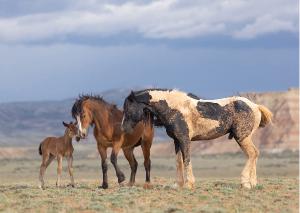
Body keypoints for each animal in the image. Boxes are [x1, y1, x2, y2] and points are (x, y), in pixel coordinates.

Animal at [120, 89, 274, 189]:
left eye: (128, 108)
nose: (123, 128)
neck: (174, 108)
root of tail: (255, 106)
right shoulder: (177, 141)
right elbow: (179, 162)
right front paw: (178, 184)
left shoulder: (184, 139)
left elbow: (187, 159)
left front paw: (189, 184)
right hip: (246, 138)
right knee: (255, 154)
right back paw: (253, 183)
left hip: (242, 137)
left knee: (252, 154)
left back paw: (245, 183)